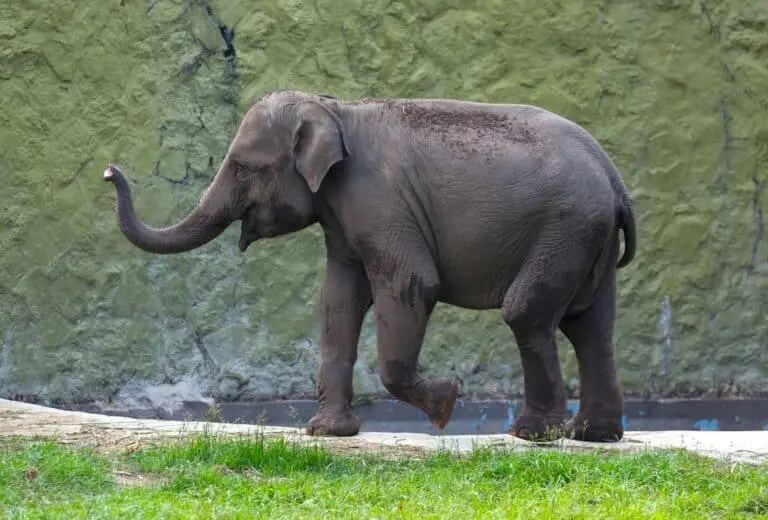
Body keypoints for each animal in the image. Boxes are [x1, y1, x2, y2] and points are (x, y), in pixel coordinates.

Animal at [102, 89, 636, 442]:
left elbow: (413, 284)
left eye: (241, 167)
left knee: (527, 312)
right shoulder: (342, 220)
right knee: (590, 326)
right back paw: (594, 435)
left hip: (565, 228)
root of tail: (614, 177)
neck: (336, 108)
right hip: (587, 239)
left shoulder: (380, 204)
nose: (109, 171)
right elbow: (337, 302)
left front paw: (446, 403)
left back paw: (535, 435)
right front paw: (327, 433)